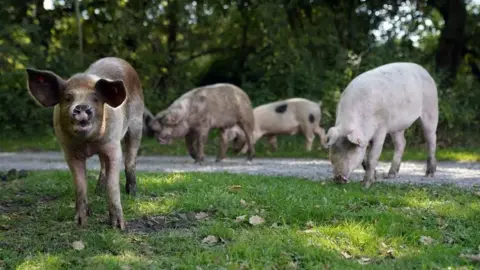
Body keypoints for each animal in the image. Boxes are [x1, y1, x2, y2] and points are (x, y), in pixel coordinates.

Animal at [26, 56, 142, 229]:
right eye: (68, 98)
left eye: (95, 98)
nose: (81, 106)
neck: (88, 143)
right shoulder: (69, 152)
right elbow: (80, 185)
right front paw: (81, 222)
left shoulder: (113, 146)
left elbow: (113, 185)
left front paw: (118, 226)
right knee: (102, 165)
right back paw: (98, 191)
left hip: (137, 124)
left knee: (130, 160)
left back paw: (132, 194)